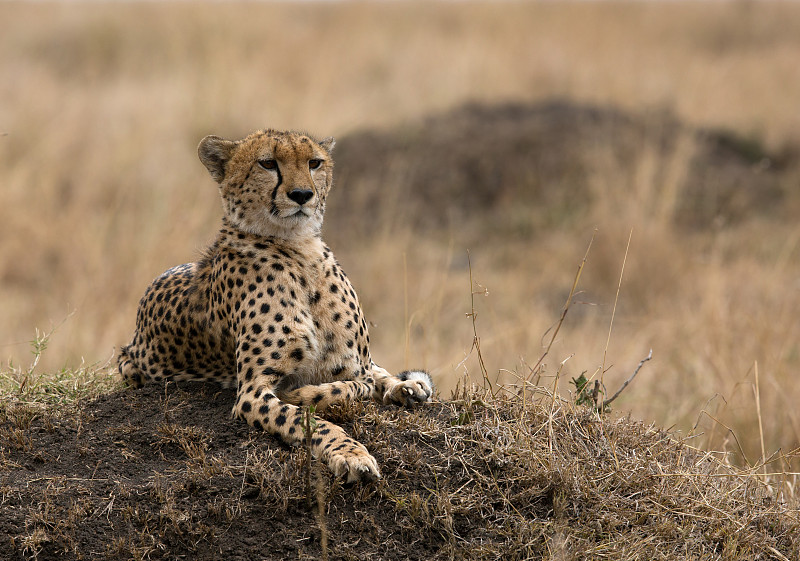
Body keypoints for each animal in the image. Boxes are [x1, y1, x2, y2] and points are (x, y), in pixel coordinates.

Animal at [118, 128, 432, 482]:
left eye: (314, 162)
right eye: (267, 163)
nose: (302, 194)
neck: (299, 247)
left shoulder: (353, 365)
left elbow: (355, 384)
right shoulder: (252, 392)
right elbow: (311, 417)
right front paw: (350, 453)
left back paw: (407, 386)